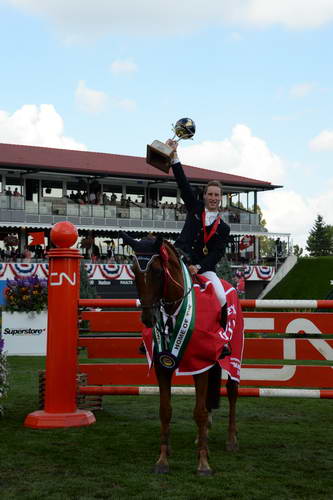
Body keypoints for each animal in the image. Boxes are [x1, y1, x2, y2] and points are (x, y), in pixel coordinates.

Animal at [123, 232, 237, 474]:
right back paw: (203, 439)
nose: (148, 319)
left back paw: (231, 440)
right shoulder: (162, 366)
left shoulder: (200, 365)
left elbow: (200, 412)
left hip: (234, 357)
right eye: (134, 270)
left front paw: (203, 464)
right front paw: (162, 460)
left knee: (232, 391)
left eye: (158, 271)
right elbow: (165, 411)